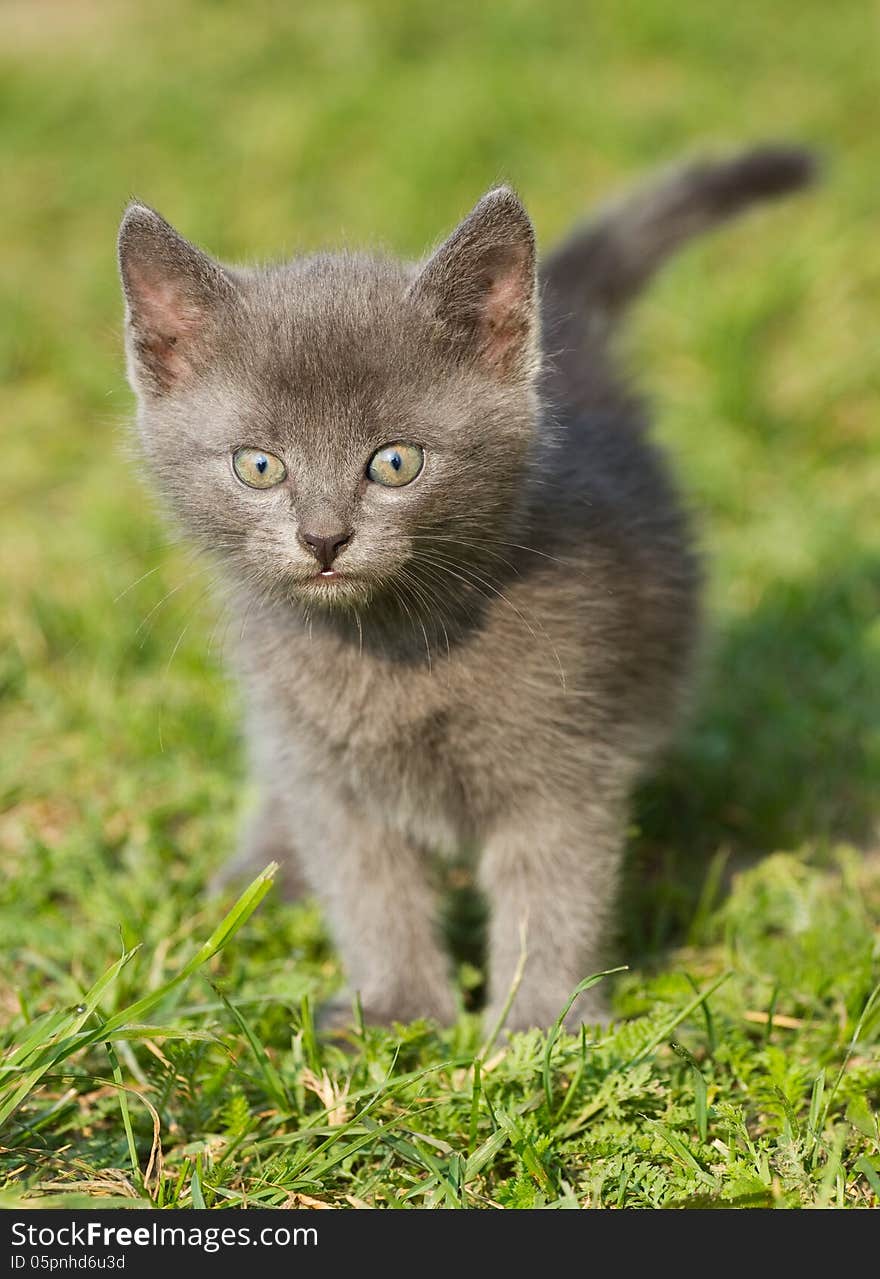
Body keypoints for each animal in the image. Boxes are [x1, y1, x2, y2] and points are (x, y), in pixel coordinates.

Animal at [118, 147, 818, 1028]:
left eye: (395, 462)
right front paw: (396, 1009)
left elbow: (553, 889)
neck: (393, 642)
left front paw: (540, 1022)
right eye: (260, 465)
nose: (323, 537)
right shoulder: (328, 773)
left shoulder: (564, 751)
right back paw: (261, 876)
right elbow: (369, 890)